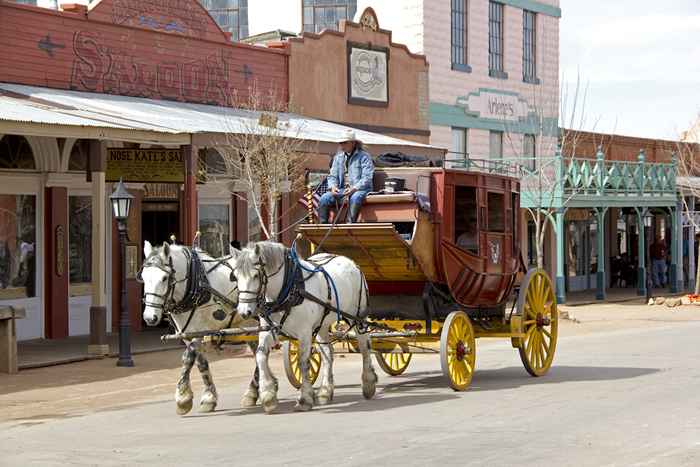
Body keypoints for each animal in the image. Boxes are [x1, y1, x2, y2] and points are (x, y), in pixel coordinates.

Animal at [139, 243, 260, 414]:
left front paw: (182, 399)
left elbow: (187, 358)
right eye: (143, 277)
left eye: (164, 278)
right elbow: (201, 363)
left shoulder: (198, 332)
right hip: (248, 326)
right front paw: (209, 397)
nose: (150, 318)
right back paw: (253, 393)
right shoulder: (188, 334)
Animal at [234, 241, 378, 414]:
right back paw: (325, 392)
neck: (289, 289)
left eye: (256, 275)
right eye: (235, 276)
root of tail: (351, 262)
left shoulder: (304, 332)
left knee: (364, 347)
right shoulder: (269, 330)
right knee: (328, 353)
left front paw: (305, 399)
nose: (244, 312)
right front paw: (268, 396)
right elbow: (260, 356)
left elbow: (303, 362)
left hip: (358, 317)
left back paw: (368, 384)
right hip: (322, 324)